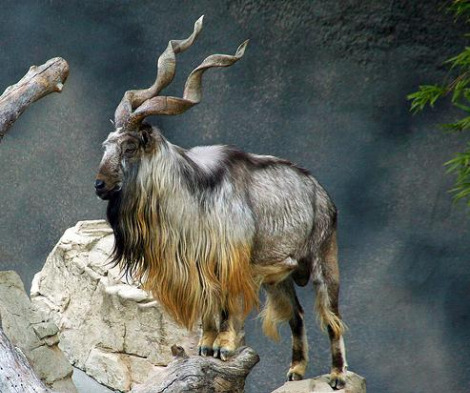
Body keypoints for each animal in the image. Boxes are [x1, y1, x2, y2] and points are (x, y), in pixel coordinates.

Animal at [93, 16, 346, 388]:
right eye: (107, 145)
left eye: (130, 146)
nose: (100, 185)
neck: (190, 194)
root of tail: (322, 193)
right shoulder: (202, 266)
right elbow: (210, 309)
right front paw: (206, 345)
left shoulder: (233, 262)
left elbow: (230, 307)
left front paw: (224, 347)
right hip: (280, 277)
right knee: (297, 315)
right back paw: (296, 371)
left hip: (323, 261)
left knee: (331, 317)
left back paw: (338, 375)